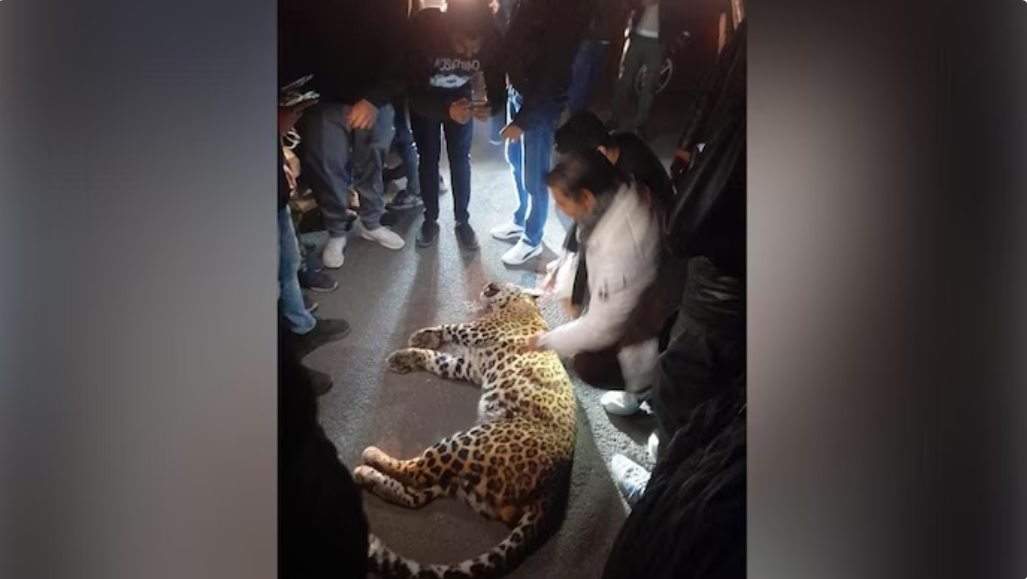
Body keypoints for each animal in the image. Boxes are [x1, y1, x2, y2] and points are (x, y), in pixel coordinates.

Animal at [353, 281, 578, 579]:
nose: (488, 284)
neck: (521, 304)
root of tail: (548, 491)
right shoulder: (468, 366)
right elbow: (436, 358)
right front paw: (410, 353)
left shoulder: (479, 329)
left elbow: (451, 326)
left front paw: (420, 338)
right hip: (464, 480)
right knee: (417, 496)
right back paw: (368, 476)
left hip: (465, 444)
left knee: (415, 473)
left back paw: (371, 457)